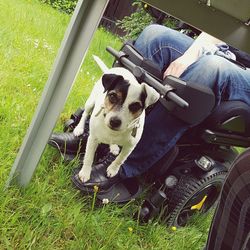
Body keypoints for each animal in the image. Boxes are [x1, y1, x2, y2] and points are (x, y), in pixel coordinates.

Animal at [73, 55, 159, 183]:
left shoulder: (130, 147)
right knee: (85, 114)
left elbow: (120, 159)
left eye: (135, 106)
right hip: (90, 102)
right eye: (112, 96)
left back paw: (113, 147)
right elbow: (89, 157)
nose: (114, 121)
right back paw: (79, 128)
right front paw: (85, 173)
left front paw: (113, 169)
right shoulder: (93, 139)